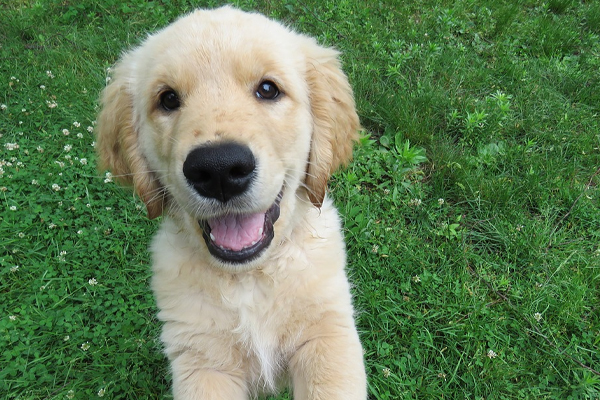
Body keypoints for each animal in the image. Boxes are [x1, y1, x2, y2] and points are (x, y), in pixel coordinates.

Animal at [95, 6, 366, 400]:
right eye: (168, 99)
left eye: (268, 89)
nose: (219, 170)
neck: (249, 279)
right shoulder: (201, 359)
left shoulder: (327, 336)